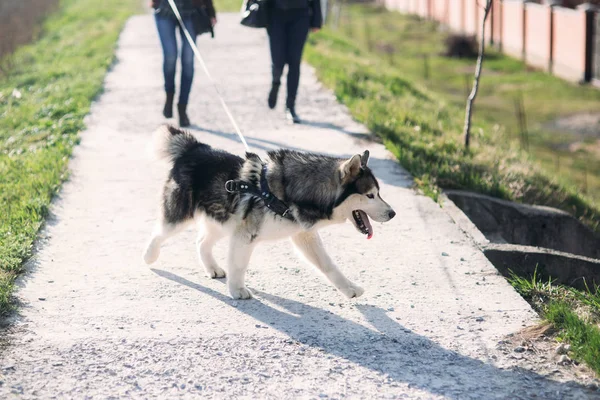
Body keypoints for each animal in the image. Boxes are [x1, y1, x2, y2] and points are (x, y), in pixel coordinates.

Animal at [144, 126, 396, 298]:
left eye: (379, 193)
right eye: (370, 195)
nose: (393, 214)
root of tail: (194, 147)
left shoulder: (303, 235)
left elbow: (328, 265)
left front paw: (348, 287)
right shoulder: (245, 236)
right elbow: (239, 265)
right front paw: (237, 290)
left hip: (222, 219)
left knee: (201, 242)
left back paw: (213, 268)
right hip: (181, 215)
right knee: (159, 233)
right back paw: (149, 255)